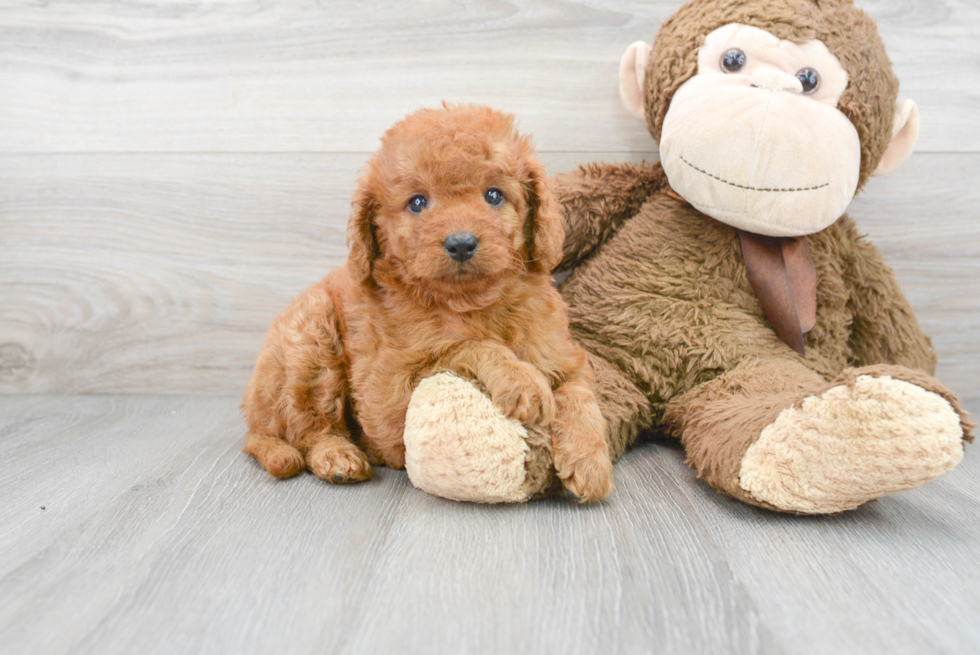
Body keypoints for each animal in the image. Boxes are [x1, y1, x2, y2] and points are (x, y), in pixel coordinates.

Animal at [243, 104, 612, 502]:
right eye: (418, 202)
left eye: (494, 196)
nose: (461, 243)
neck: (471, 303)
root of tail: (252, 416)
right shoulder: (387, 398)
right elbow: (466, 346)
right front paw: (521, 379)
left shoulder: (563, 355)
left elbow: (579, 392)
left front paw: (591, 461)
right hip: (311, 332)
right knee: (307, 429)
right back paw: (337, 456)